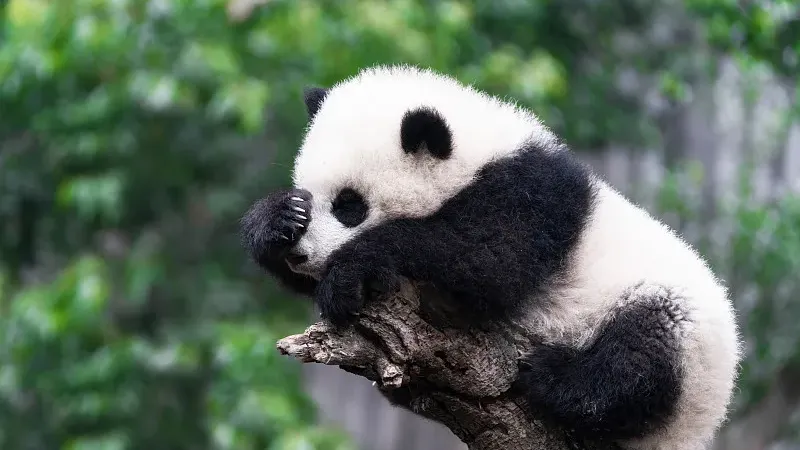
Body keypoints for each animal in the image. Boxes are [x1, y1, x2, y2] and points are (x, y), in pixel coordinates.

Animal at [240, 65, 741, 450]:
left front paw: (352, 270)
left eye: (350, 205)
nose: (303, 254)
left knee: (641, 355)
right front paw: (277, 221)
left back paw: (554, 377)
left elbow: (489, 262)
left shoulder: (530, 199)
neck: (481, 153)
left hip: (682, 332)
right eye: (311, 195)